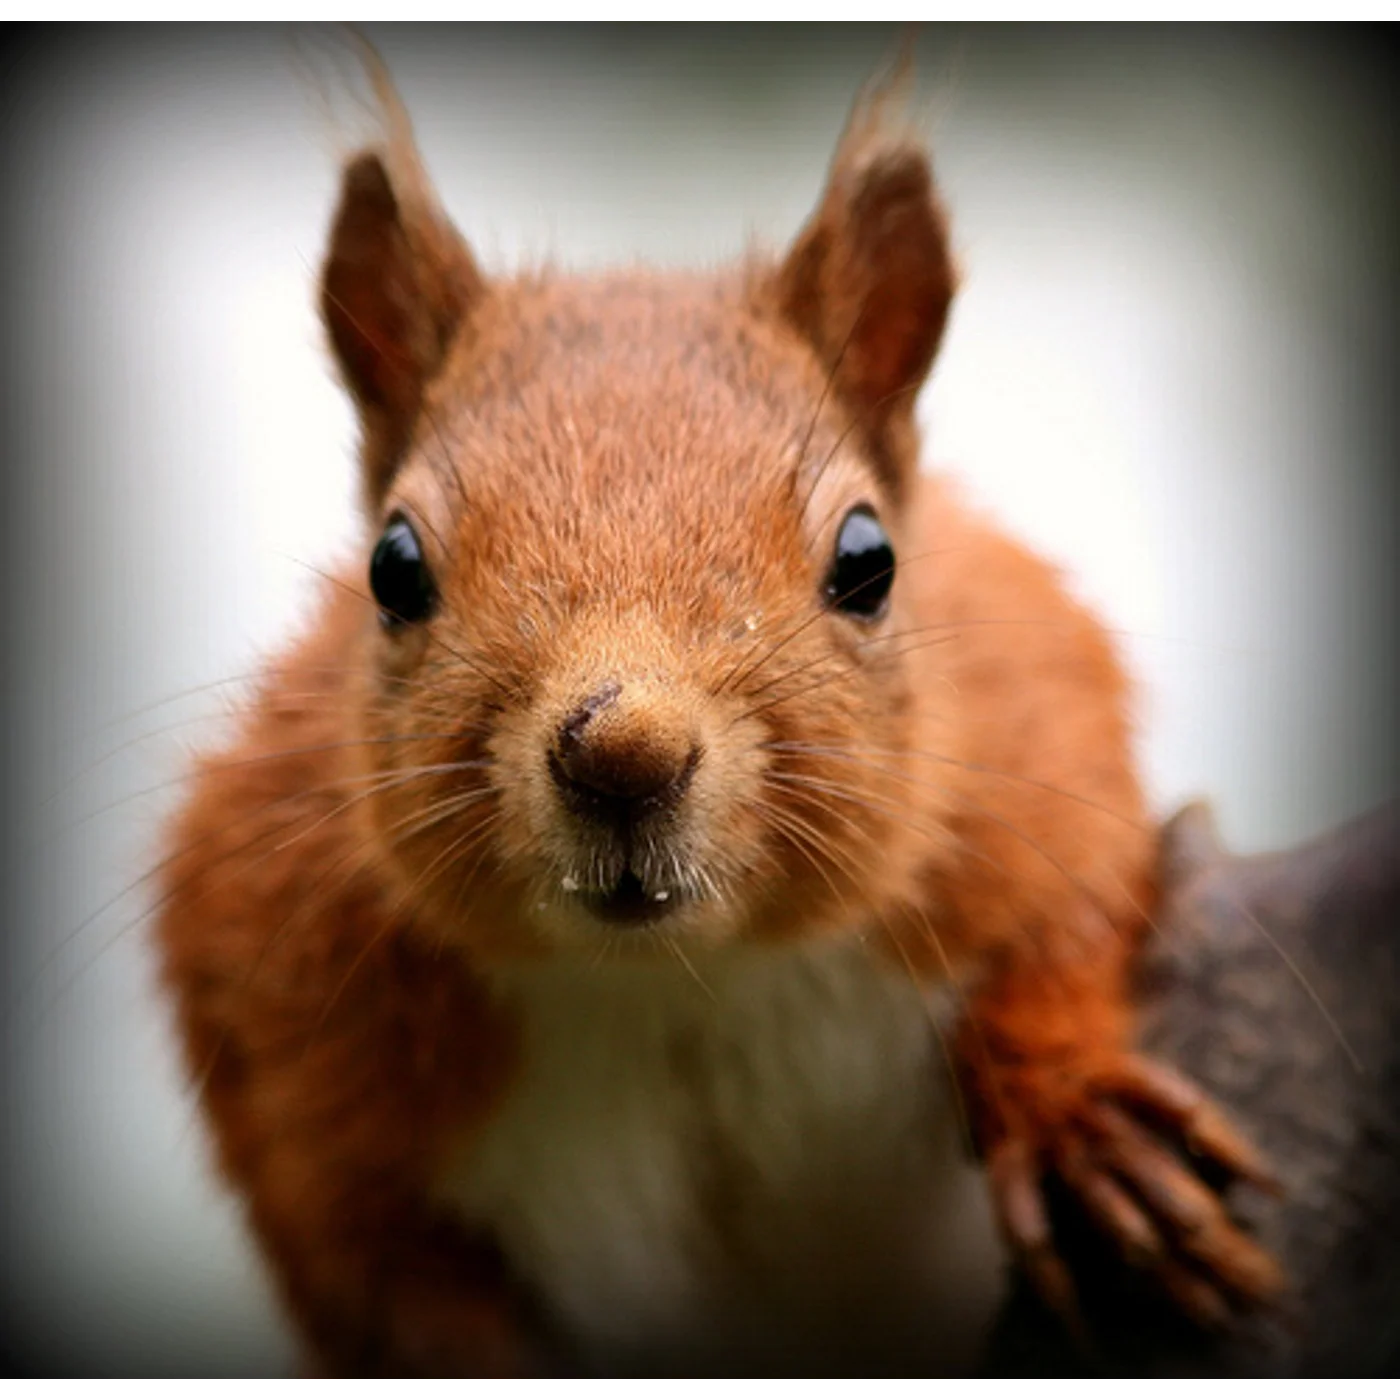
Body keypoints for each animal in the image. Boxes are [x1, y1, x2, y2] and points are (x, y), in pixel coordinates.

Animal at [153, 52, 1284, 1380]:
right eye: (391, 567)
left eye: (868, 559)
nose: (623, 751)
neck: (682, 979)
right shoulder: (283, 1023)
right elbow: (380, 1278)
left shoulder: (1026, 735)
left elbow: (1067, 909)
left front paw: (1077, 1118)